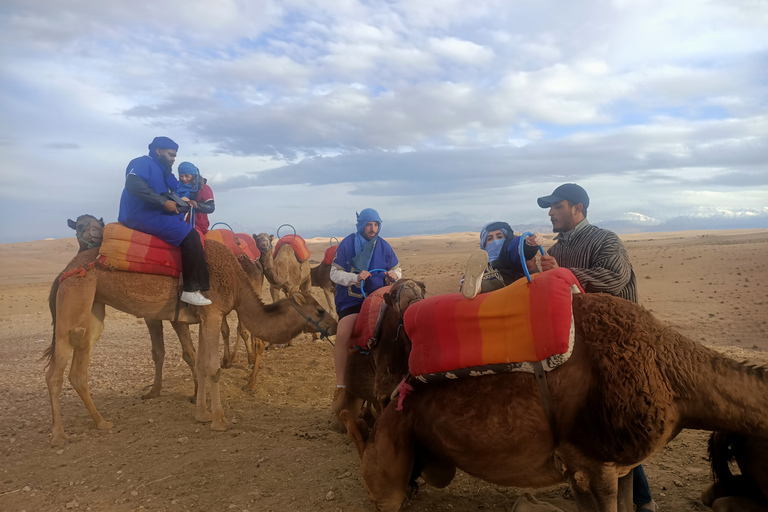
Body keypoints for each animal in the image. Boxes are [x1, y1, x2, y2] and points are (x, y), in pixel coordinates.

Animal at [44, 238, 336, 446]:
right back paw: (59, 436)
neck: (236, 284)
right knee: (55, 371)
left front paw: (202, 413)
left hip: (94, 306)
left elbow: (201, 365)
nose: (333, 324)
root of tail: (64, 271)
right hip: (74, 296)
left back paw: (101, 421)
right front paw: (219, 420)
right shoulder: (213, 313)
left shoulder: (207, 316)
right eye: (319, 310)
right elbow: (213, 368)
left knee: (79, 368)